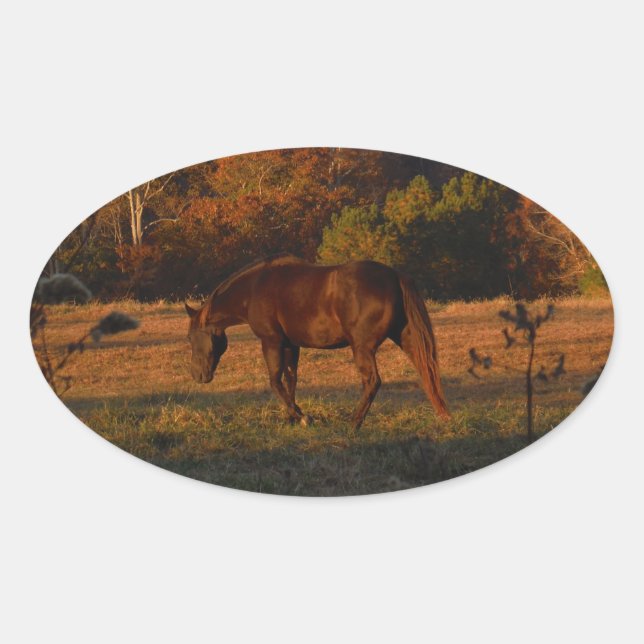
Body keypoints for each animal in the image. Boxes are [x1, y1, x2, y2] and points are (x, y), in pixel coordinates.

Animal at [184, 254, 449, 429]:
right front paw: (292, 417)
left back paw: (353, 423)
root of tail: (395, 276)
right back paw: (442, 415)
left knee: (373, 382)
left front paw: (302, 417)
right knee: (426, 371)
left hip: (362, 349)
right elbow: (290, 380)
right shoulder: (291, 345)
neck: (254, 289)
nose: (197, 375)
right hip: (406, 339)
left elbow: (275, 382)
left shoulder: (271, 342)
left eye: (189, 338)